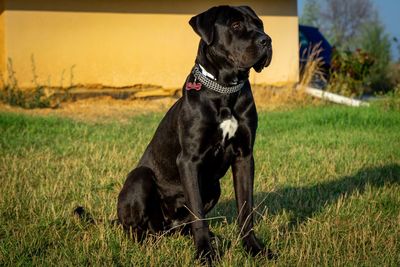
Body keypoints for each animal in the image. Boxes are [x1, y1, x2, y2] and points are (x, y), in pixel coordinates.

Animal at [117, 4, 270, 264]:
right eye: (236, 25)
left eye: (259, 24)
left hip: (213, 187)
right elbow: (198, 214)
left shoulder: (244, 157)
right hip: (140, 177)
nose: (266, 40)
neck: (224, 91)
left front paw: (254, 249)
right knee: (136, 228)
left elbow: (245, 210)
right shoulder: (189, 160)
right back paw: (146, 244)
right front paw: (205, 254)